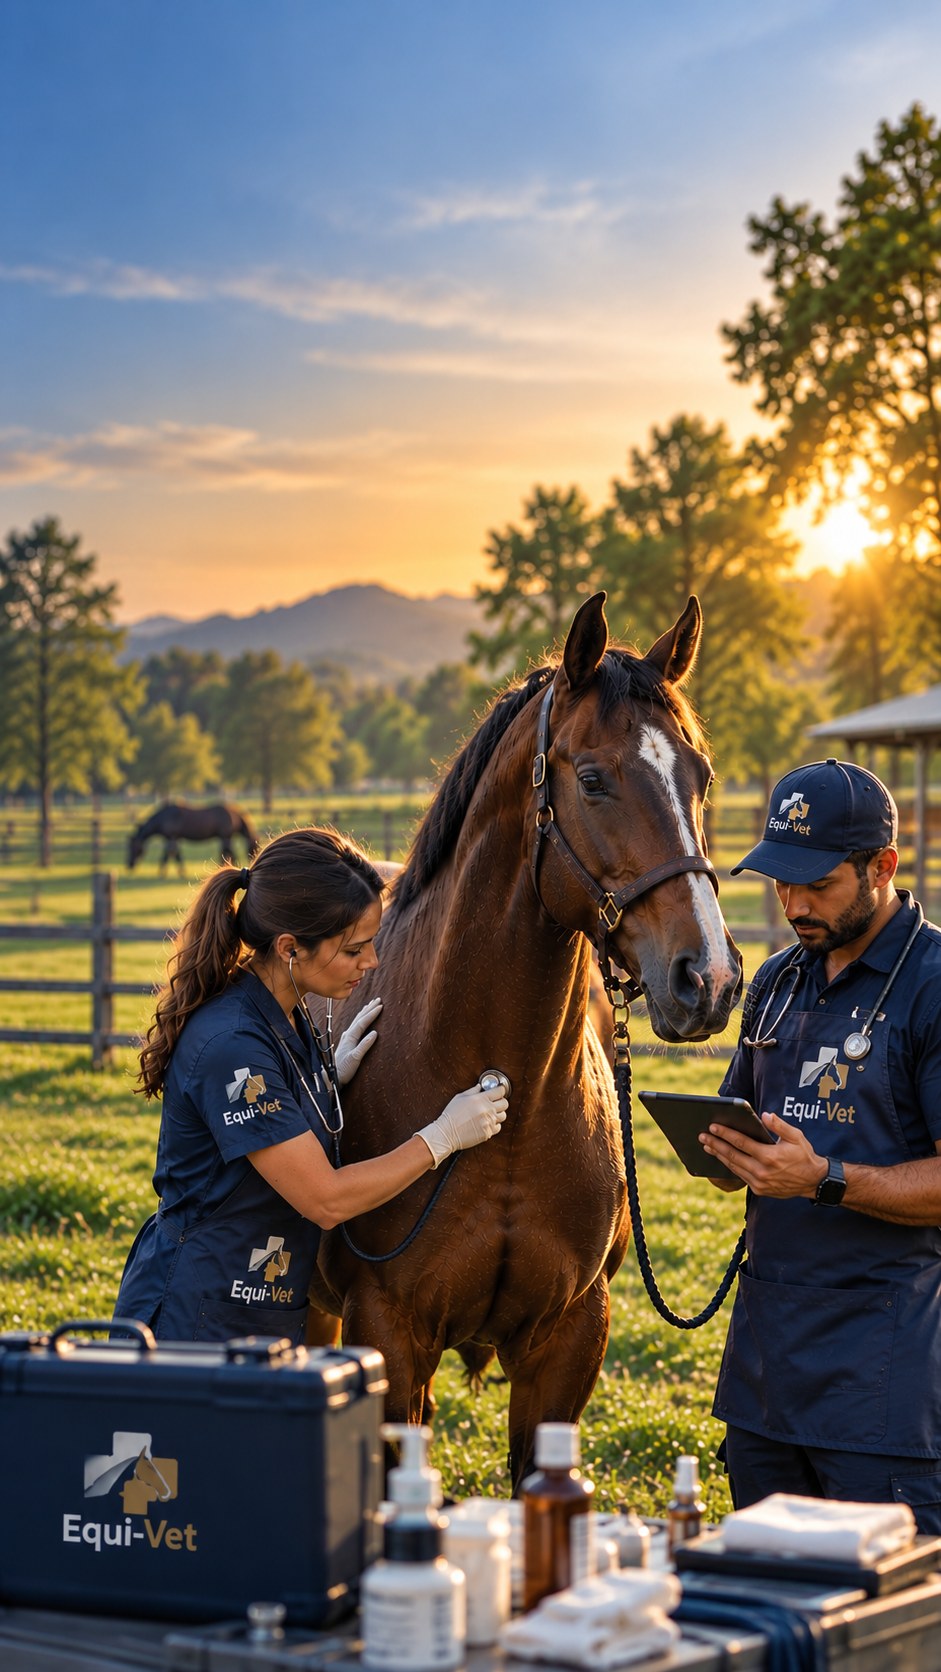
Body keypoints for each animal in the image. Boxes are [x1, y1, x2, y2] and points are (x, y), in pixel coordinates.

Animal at [126, 802, 259, 872]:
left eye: (133, 848)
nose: (129, 865)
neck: (164, 817)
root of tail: (235, 810)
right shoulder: (175, 838)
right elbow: (176, 855)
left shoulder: (172, 837)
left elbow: (169, 855)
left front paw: (164, 873)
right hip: (226, 837)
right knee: (228, 853)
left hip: (225, 837)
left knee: (228, 852)